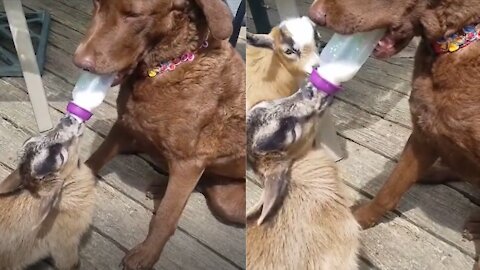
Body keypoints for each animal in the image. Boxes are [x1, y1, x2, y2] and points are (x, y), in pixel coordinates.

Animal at [73, 1, 246, 268]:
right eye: (95, 5)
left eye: (134, 15)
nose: (80, 62)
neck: (169, 65)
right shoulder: (124, 124)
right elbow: (96, 159)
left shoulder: (189, 163)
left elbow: (165, 216)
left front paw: (146, 254)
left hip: (229, 203)